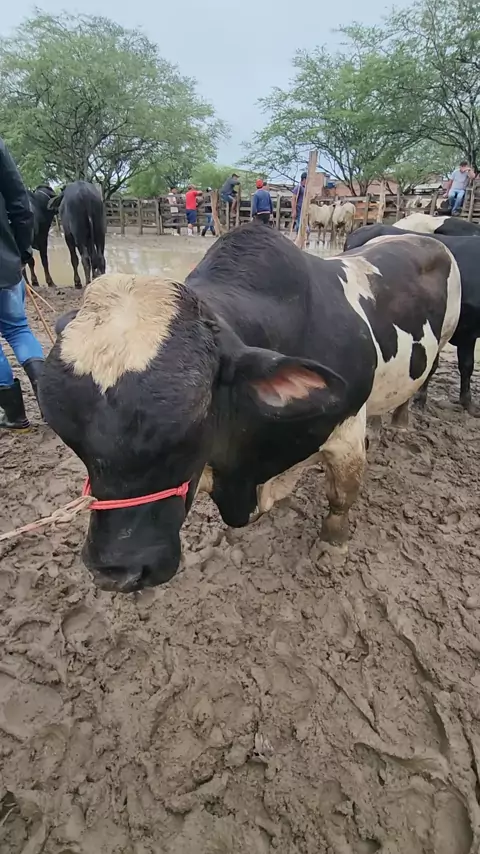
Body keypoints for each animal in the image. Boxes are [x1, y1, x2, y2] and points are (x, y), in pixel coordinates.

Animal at [39, 223, 461, 593]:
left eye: (193, 423)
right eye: (70, 437)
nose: (116, 573)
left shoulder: (345, 429)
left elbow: (341, 496)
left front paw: (332, 545)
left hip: (444, 339)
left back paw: (401, 421)